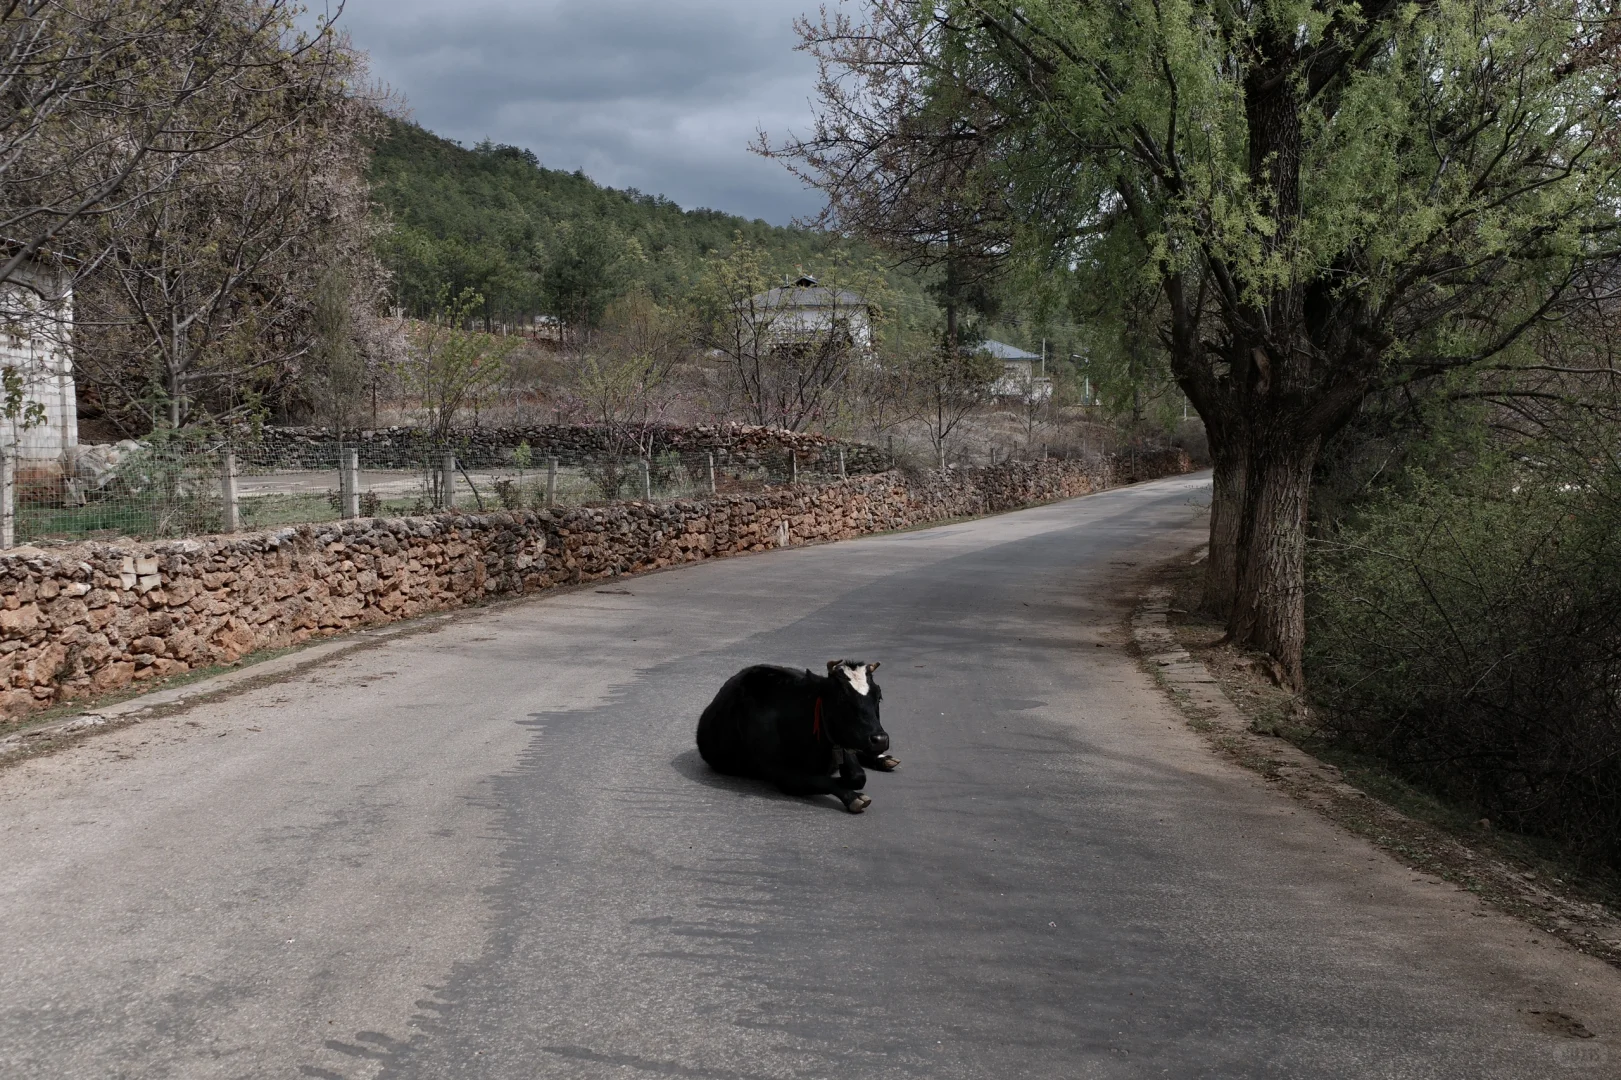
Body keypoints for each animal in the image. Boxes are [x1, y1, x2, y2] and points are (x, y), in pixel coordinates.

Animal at [697, 659, 894, 813]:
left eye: (879, 697)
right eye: (842, 699)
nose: (880, 740)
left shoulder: (841, 742)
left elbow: (858, 776)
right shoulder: (781, 773)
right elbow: (822, 780)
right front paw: (852, 796)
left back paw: (883, 759)